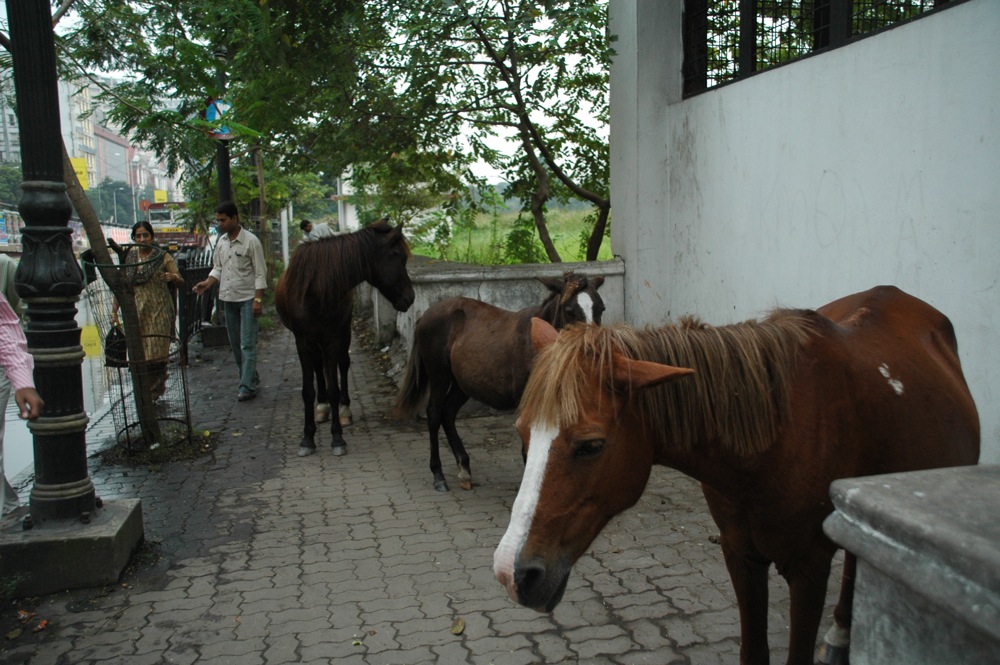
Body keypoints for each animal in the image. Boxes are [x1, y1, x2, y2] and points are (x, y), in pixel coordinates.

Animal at [274, 220, 414, 460]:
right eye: (398, 257)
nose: (410, 297)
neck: (316, 290)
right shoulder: (302, 341)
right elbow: (308, 390)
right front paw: (307, 438)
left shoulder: (332, 338)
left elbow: (334, 388)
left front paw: (337, 438)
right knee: (319, 368)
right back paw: (322, 408)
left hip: (343, 332)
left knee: (343, 364)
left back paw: (344, 410)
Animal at [394, 272, 604, 492]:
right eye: (569, 311)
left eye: (601, 309)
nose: (593, 349)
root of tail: (425, 315)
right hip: (439, 377)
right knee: (434, 414)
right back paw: (438, 474)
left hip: (463, 384)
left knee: (448, 414)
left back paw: (464, 467)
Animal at [496, 286, 980, 664]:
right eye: (522, 435)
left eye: (591, 445)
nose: (511, 574)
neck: (775, 441)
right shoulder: (740, 555)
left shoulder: (809, 567)